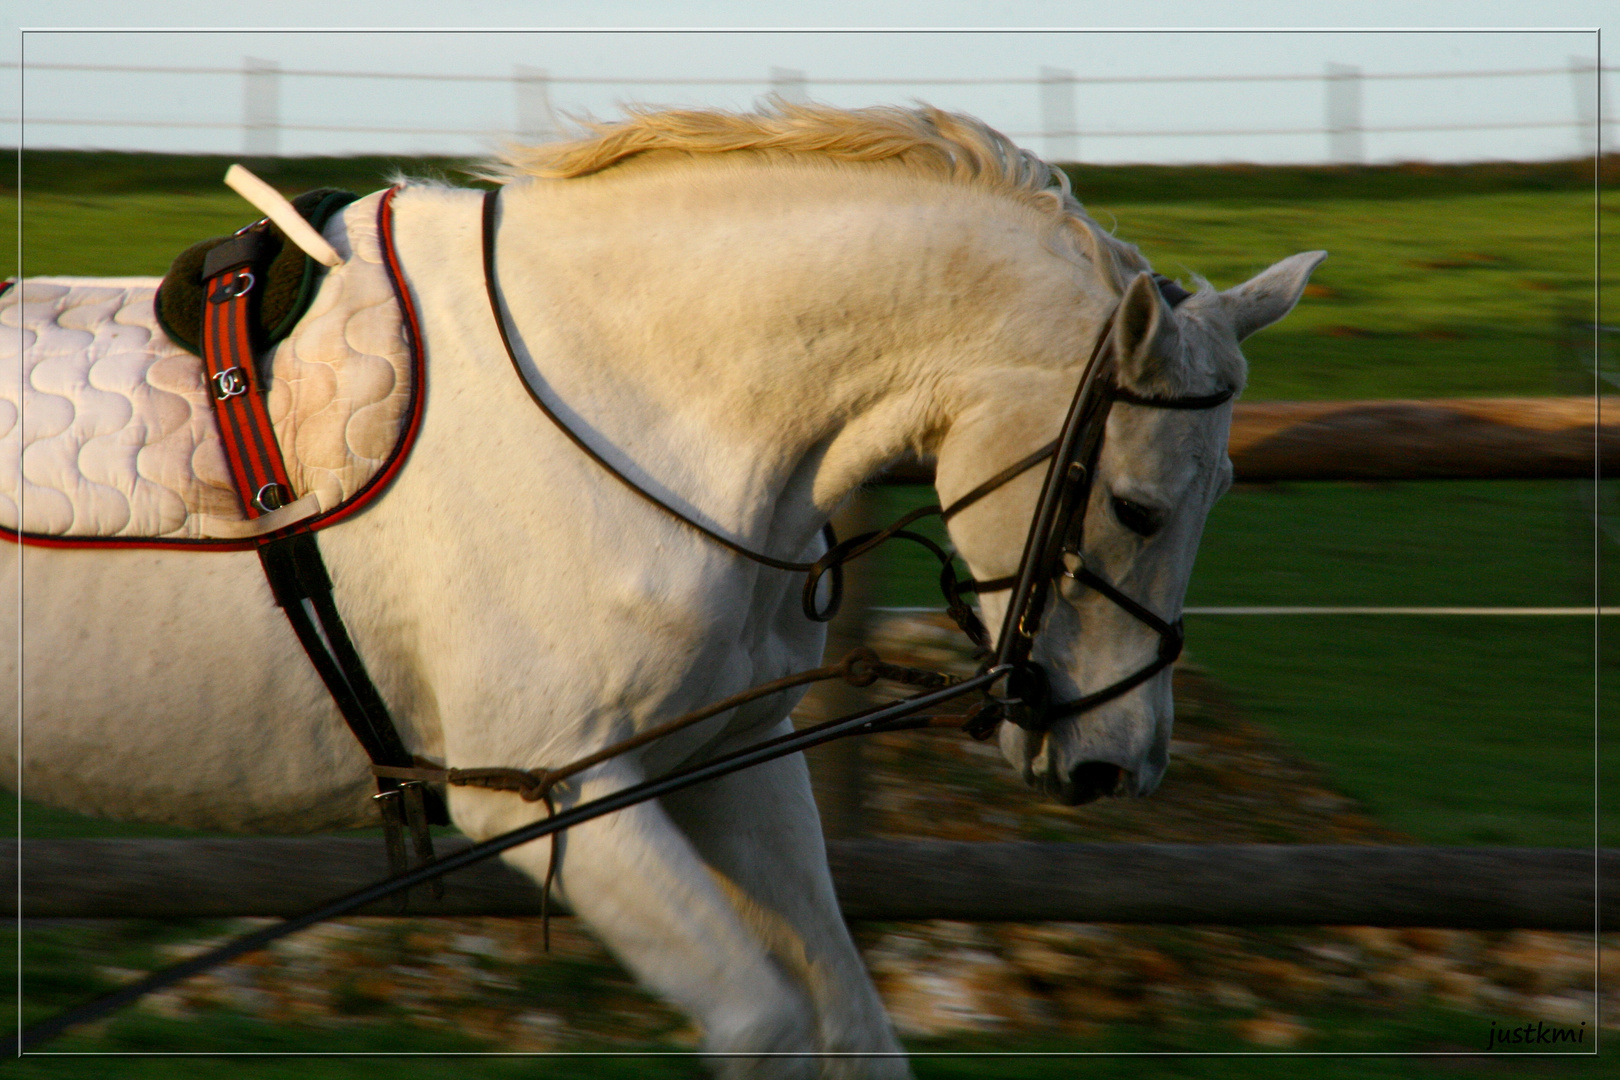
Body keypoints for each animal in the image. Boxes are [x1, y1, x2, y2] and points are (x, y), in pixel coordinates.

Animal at [3, 107, 1315, 1075]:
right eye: (1138, 508)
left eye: (1223, 490)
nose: (1114, 764)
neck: (633, 400)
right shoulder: (553, 797)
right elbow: (765, 1024)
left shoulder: (725, 765)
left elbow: (850, 1026)